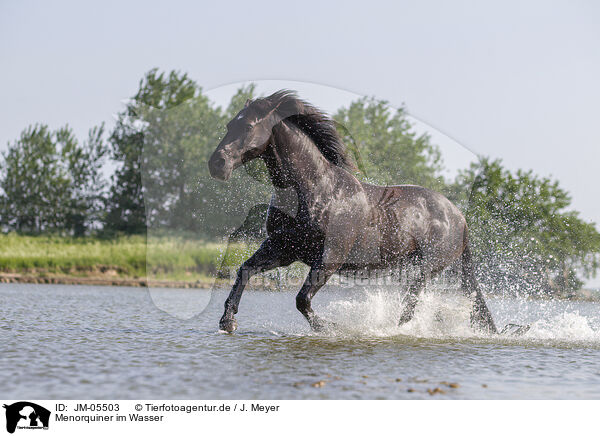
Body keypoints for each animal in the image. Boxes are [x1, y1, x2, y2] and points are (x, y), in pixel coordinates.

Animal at [209, 90, 500, 336]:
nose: (216, 164)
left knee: (410, 305)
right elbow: (245, 270)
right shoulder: (284, 249)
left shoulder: (330, 257)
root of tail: (460, 218)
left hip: (428, 268)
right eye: (229, 125)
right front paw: (228, 322)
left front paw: (332, 328)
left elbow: (302, 300)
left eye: (248, 126)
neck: (314, 190)